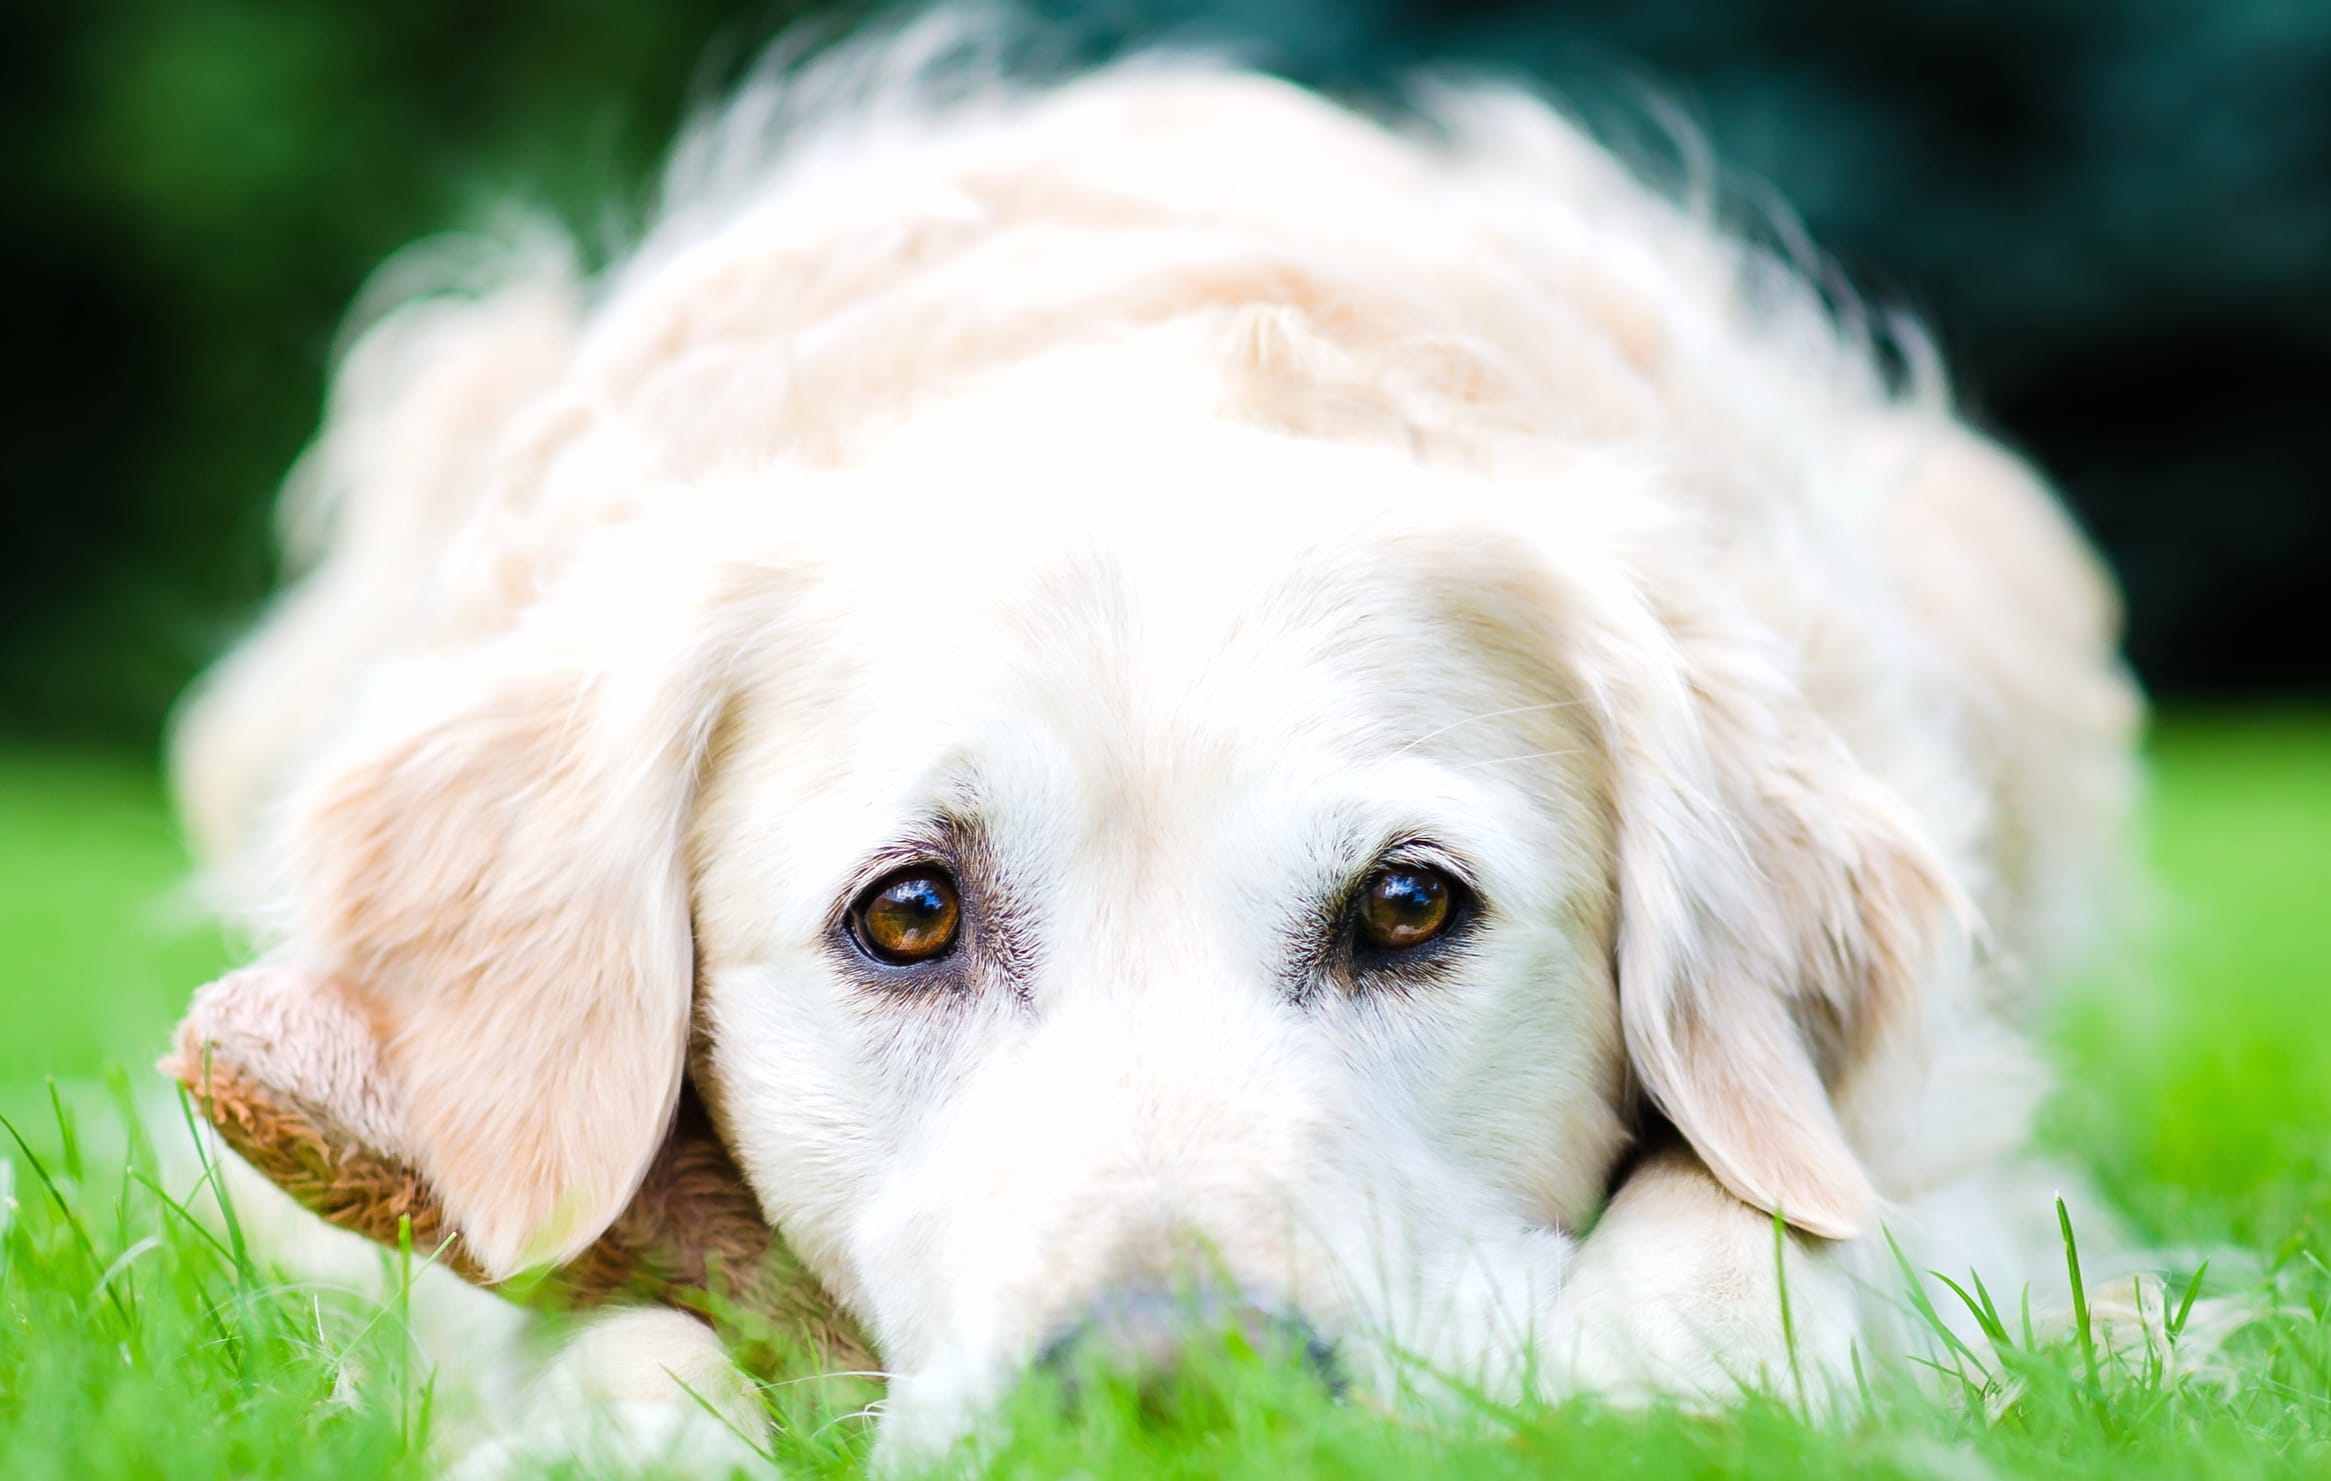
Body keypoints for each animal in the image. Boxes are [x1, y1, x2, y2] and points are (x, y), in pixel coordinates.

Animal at [168, 29, 2135, 1474]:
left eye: (1410, 907)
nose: (1174, 1383)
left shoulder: (1950, 1159)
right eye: (905, 916)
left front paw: (1669, 1387)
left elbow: (1762, 1231)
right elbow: (590, 1325)